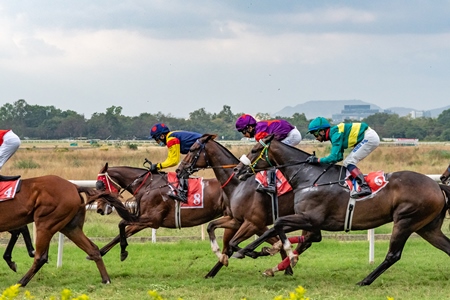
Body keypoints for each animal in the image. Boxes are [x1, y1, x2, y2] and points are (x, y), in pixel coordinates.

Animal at [94, 161, 229, 262]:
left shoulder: (152, 220)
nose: (99, 209)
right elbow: (119, 234)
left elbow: (121, 223)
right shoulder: (142, 220)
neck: (148, 186)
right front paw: (99, 252)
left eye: (101, 185)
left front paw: (122, 250)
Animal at [178, 135, 304, 278]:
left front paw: (259, 253)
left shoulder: (253, 223)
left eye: (192, 149)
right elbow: (212, 227)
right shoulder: (237, 220)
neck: (238, 184)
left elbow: (233, 244)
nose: (178, 170)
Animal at [232, 135, 450, 286]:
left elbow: (278, 224)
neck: (308, 177)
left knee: (393, 255)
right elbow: (275, 229)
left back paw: (364, 281)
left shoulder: (309, 218)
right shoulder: (309, 220)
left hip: (405, 221)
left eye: (254, 150)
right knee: (446, 247)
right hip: (427, 227)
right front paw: (249, 250)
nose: (237, 171)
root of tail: (436, 185)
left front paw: (283, 253)